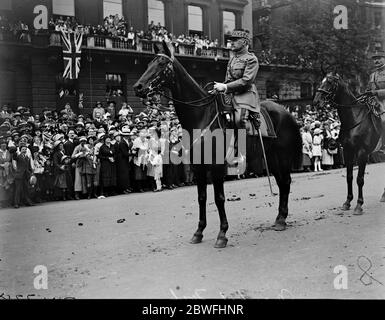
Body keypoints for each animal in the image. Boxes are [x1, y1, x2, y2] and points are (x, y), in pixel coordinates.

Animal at [134, 42, 302, 248]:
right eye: (149, 63)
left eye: (161, 64)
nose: (138, 87)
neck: (201, 116)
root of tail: (286, 112)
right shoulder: (198, 167)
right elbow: (202, 197)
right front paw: (199, 232)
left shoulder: (216, 166)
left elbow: (219, 198)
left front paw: (222, 234)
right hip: (271, 158)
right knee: (281, 183)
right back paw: (279, 219)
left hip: (282, 157)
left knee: (285, 182)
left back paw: (281, 220)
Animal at [314, 71, 382, 214]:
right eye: (321, 81)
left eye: (329, 82)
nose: (316, 101)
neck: (354, 118)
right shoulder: (348, 151)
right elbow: (349, 177)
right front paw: (348, 201)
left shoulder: (362, 153)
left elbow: (360, 179)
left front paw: (359, 204)